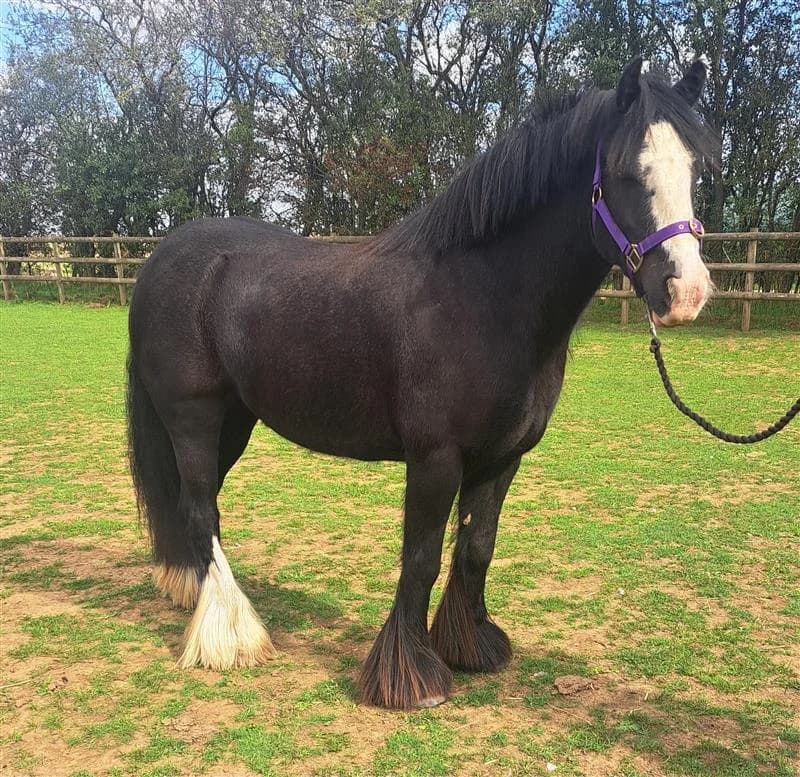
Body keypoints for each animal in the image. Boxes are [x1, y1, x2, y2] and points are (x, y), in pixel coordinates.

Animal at [127, 57, 718, 709]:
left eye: (697, 166)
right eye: (624, 172)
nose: (686, 292)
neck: (480, 296)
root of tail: (162, 258)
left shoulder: (501, 458)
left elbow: (476, 549)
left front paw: (470, 646)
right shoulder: (435, 458)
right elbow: (422, 557)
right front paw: (409, 677)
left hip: (234, 420)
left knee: (198, 504)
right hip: (193, 417)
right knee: (200, 507)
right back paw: (231, 637)